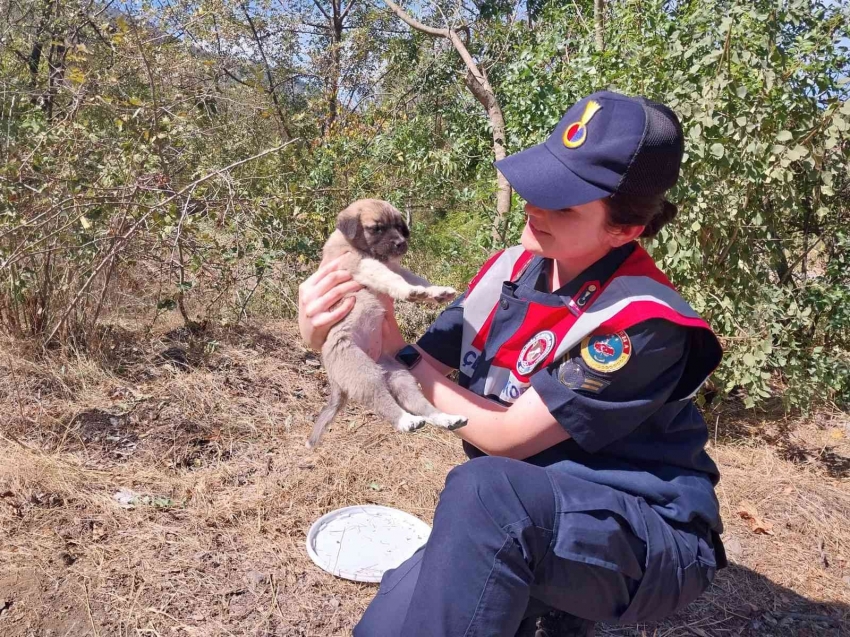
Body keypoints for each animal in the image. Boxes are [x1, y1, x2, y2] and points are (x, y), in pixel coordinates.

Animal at [304, 199, 468, 448]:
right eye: (377, 228)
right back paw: (406, 421)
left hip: (401, 377)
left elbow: (416, 278)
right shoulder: (361, 264)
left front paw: (435, 292)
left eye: (400, 227)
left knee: (420, 404)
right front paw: (411, 292)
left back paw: (447, 419)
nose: (401, 244)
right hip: (364, 373)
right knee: (383, 403)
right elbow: (391, 278)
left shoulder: (395, 267)